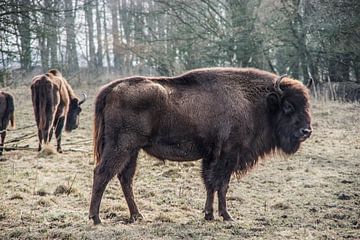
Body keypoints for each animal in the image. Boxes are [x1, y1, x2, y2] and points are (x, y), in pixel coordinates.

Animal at [89, 66, 312, 224]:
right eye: (288, 106)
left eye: (307, 105)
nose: (306, 131)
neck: (255, 102)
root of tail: (111, 88)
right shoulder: (228, 154)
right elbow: (222, 184)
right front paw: (226, 216)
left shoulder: (211, 155)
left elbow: (210, 183)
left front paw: (209, 214)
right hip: (121, 147)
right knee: (102, 173)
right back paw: (96, 218)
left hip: (132, 151)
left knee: (125, 178)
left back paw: (137, 216)